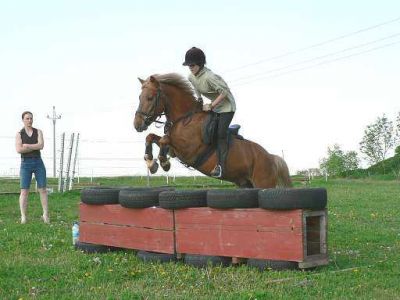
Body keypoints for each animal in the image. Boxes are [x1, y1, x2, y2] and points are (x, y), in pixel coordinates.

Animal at [133, 73, 292, 189]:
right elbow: (152, 137)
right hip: (246, 184)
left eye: (150, 98)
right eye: (139, 97)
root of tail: (271, 157)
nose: (137, 124)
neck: (184, 118)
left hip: (263, 183)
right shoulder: (175, 149)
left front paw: (163, 163)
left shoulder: (189, 150)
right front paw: (151, 162)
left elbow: (163, 139)